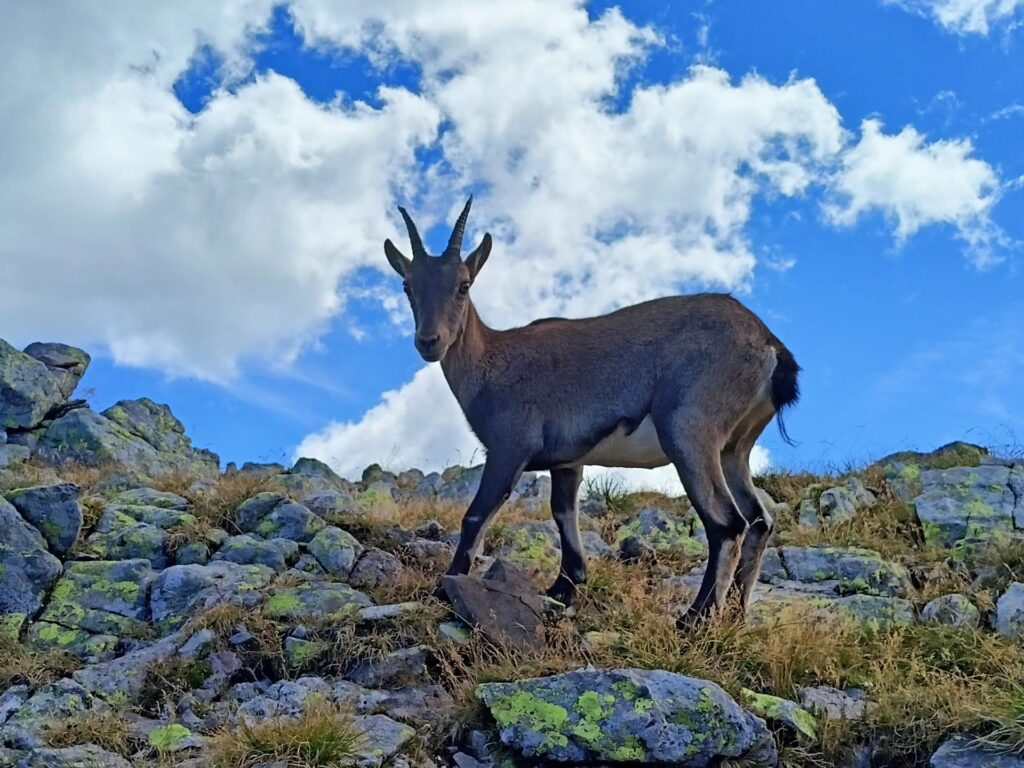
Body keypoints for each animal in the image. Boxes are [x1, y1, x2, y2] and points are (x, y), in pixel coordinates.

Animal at [385, 199, 798, 626]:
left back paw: (694, 619)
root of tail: (770, 344)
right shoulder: (567, 460)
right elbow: (563, 513)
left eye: (463, 285)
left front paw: (444, 586)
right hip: (735, 448)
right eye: (408, 286)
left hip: (688, 433)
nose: (429, 341)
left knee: (727, 523)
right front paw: (563, 588)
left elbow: (475, 516)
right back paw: (735, 615)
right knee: (760, 521)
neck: (490, 363)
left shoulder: (509, 448)